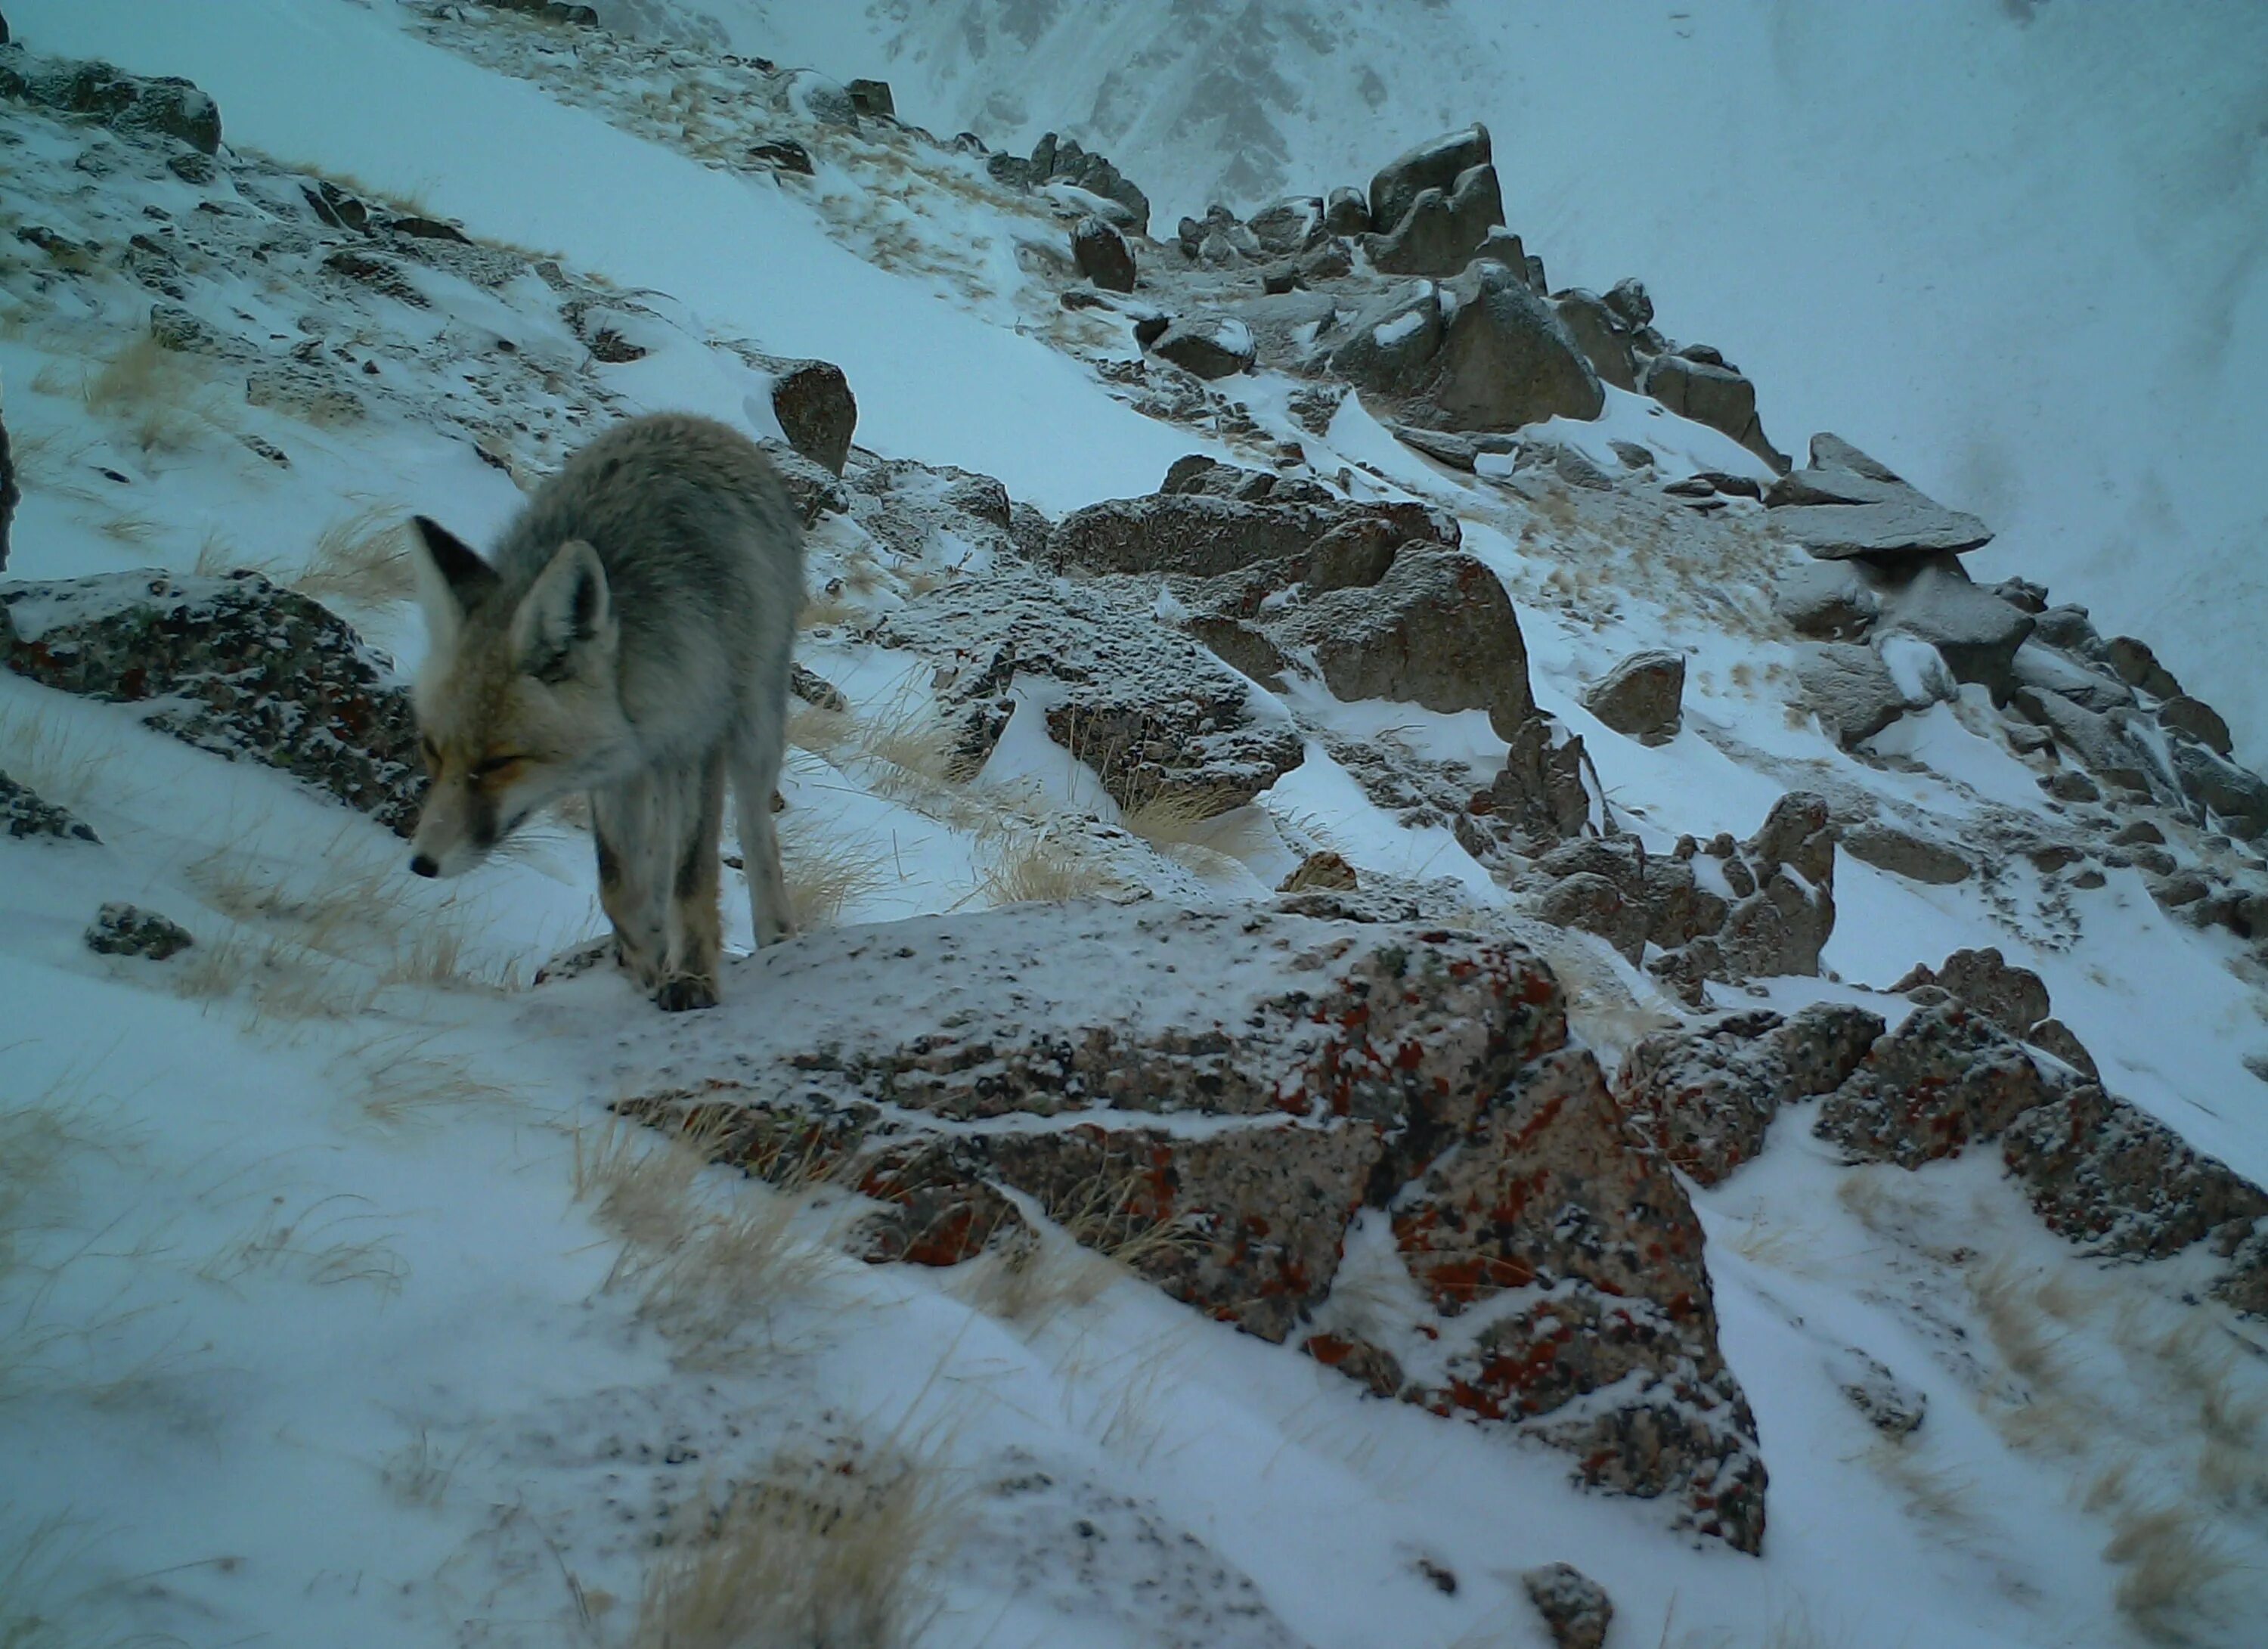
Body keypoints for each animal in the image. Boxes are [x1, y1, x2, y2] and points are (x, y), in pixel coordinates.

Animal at [406, 411, 807, 1007]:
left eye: (500, 762)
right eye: (432, 750)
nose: (422, 863)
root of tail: (697, 420)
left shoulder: (698, 740)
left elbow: (691, 876)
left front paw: (691, 975)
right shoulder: (615, 769)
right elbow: (617, 883)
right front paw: (646, 952)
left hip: (754, 727)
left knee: (756, 830)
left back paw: (775, 930)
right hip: (651, 773)